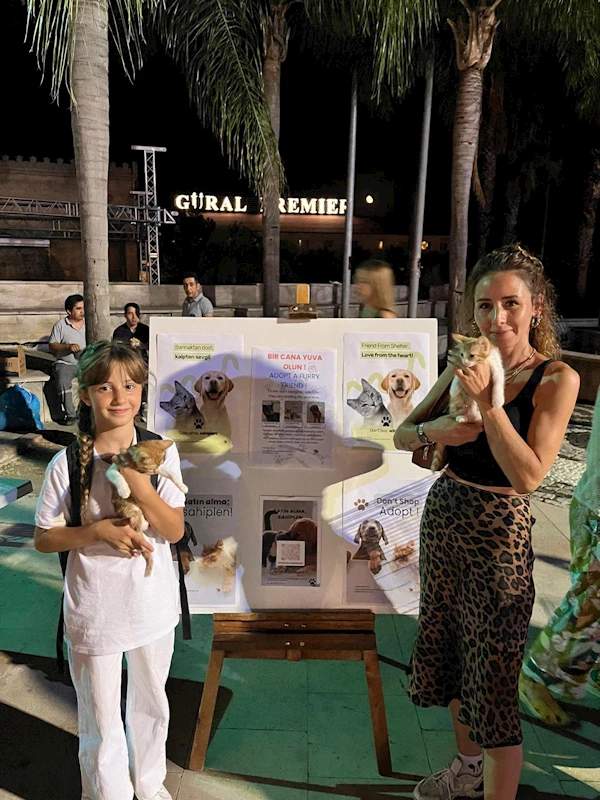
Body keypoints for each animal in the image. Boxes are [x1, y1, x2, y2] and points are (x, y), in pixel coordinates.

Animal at [106, 439, 188, 577]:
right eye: (150, 467)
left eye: (159, 464)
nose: (154, 472)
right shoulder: (112, 467)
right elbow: (117, 476)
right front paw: (124, 490)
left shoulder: (162, 468)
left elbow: (171, 473)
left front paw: (182, 486)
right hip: (133, 511)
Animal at [429, 333, 505, 471]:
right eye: (462, 354)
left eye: (472, 355)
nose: (464, 362)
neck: (484, 361)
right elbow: (457, 377)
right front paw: (454, 389)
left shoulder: (497, 365)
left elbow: (498, 380)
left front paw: (497, 400)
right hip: (458, 404)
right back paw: (462, 418)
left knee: (478, 421)